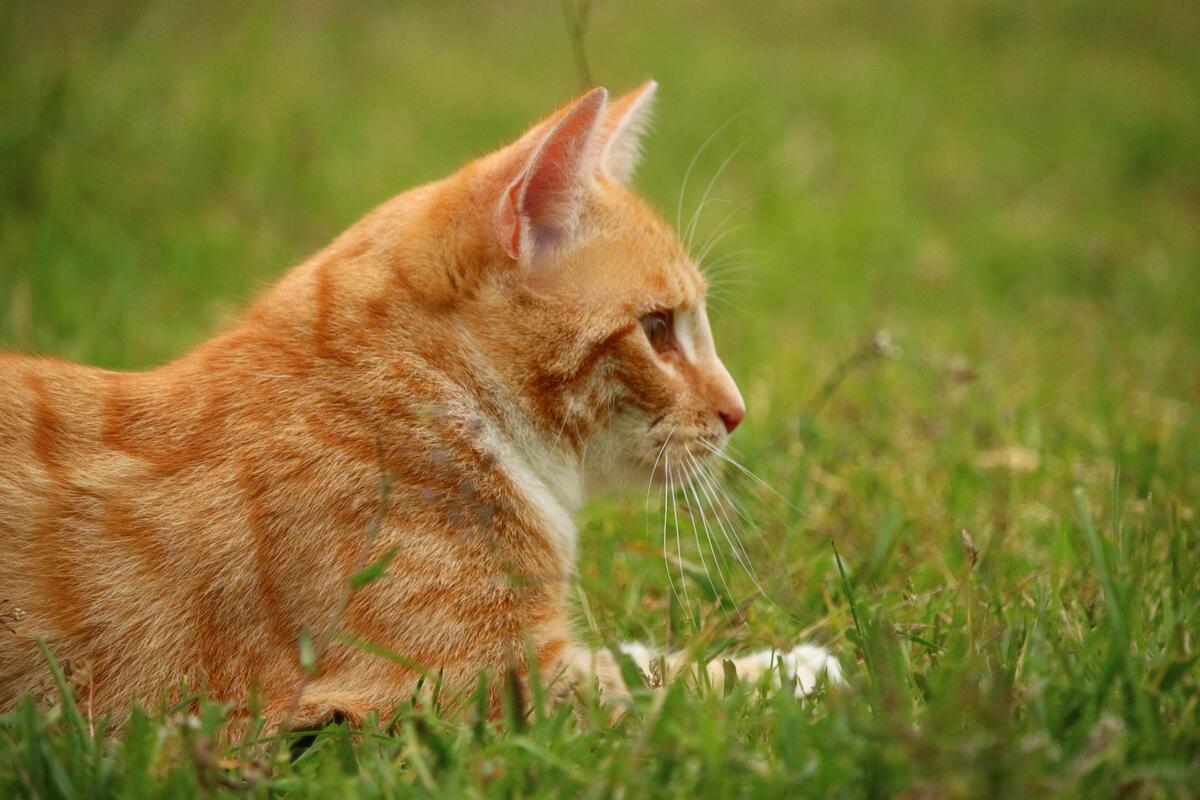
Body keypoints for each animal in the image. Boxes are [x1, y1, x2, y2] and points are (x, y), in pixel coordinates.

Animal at [0, 82, 840, 734]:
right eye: (659, 329)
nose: (736, 412)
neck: (424, 403)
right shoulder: (476, 689)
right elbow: (667, 686)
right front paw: (795, 671)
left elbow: (636, 660)